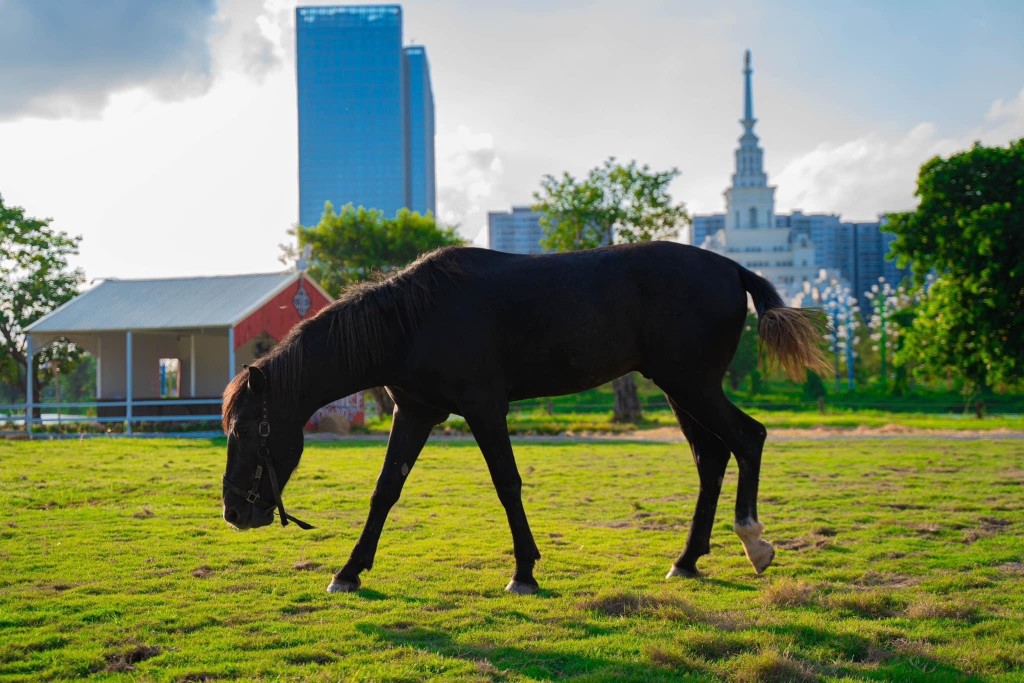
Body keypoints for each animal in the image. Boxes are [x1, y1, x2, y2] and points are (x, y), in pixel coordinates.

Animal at [220, 242, 827, 593]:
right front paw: (348, 571)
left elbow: (507, 485)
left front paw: (525, 572)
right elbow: (385, 490)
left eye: (247, 429)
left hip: (693, 385)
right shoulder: (416, 412)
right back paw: (687, 560)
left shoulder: (484, 409)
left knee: (748, 438)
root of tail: (733, 268)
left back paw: (754, 543)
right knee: (712, 458)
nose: (234, 512)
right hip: (682, 390)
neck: (413, 319)